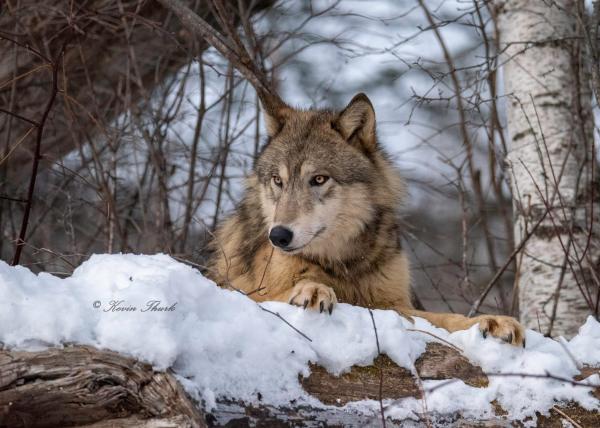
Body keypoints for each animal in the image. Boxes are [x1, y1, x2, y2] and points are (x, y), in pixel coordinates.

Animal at [210, 92, 524, 346]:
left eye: (319, 179)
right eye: (278, 180)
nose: (278, 236)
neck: (345, 264)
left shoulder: (392, 303)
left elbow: (444, 317)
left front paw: (492, 322)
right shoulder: (246, 290)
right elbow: (283, 290)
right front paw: (312, 289)